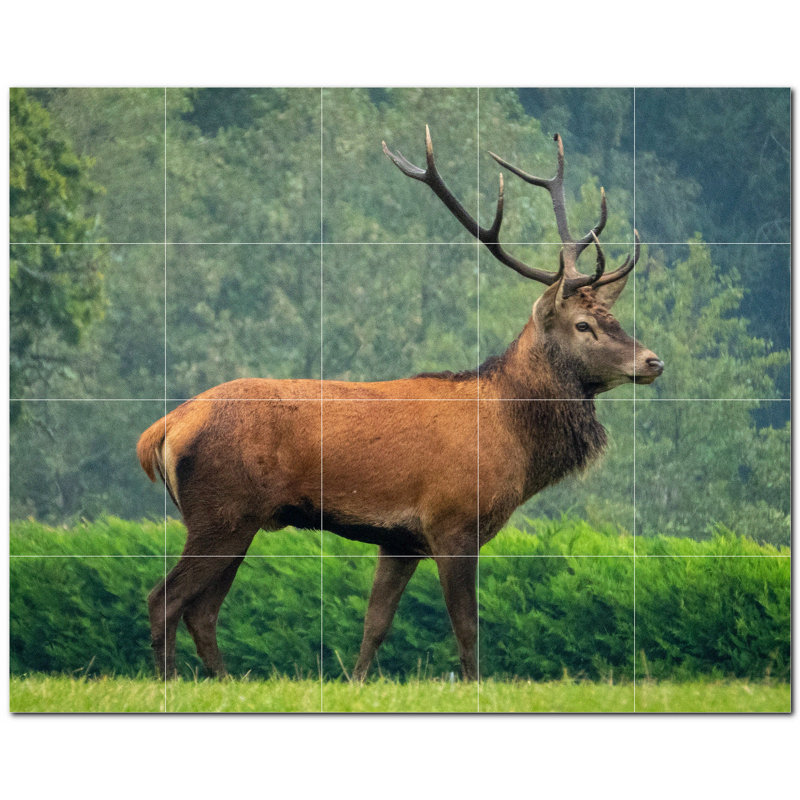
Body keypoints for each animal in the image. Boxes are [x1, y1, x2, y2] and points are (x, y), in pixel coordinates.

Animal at [137, 127, 663, 682]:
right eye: (583, 325)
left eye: (614, 318)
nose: (652, 361)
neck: (512, 437)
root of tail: (163, 429)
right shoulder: (452, 522)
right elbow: (466, 627)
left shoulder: (400, 539)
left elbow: (376, 622)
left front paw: (356, 681)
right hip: (222, 511)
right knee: (166, 599)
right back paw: (173, 681)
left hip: (237, 519)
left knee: (202, 610)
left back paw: (224, 681)